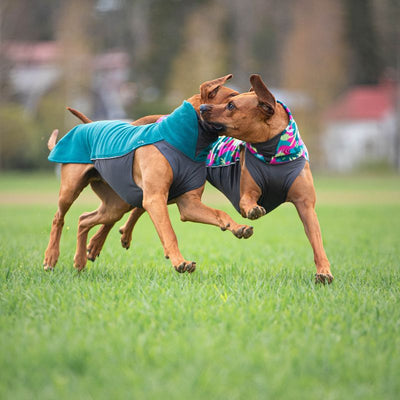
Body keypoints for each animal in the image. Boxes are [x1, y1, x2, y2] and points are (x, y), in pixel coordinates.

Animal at [43, 75, 253, 274]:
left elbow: (219, 212)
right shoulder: (155, 199)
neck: (184, 142)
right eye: (231, 100)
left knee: (84, 219)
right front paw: (180, 262)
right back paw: (51, 258)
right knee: (58, 218)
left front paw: (238, 227)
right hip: (71, 188)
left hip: (115, 204)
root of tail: (84, 126)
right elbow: (169, 233)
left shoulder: (189, 203)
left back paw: (79, 261)